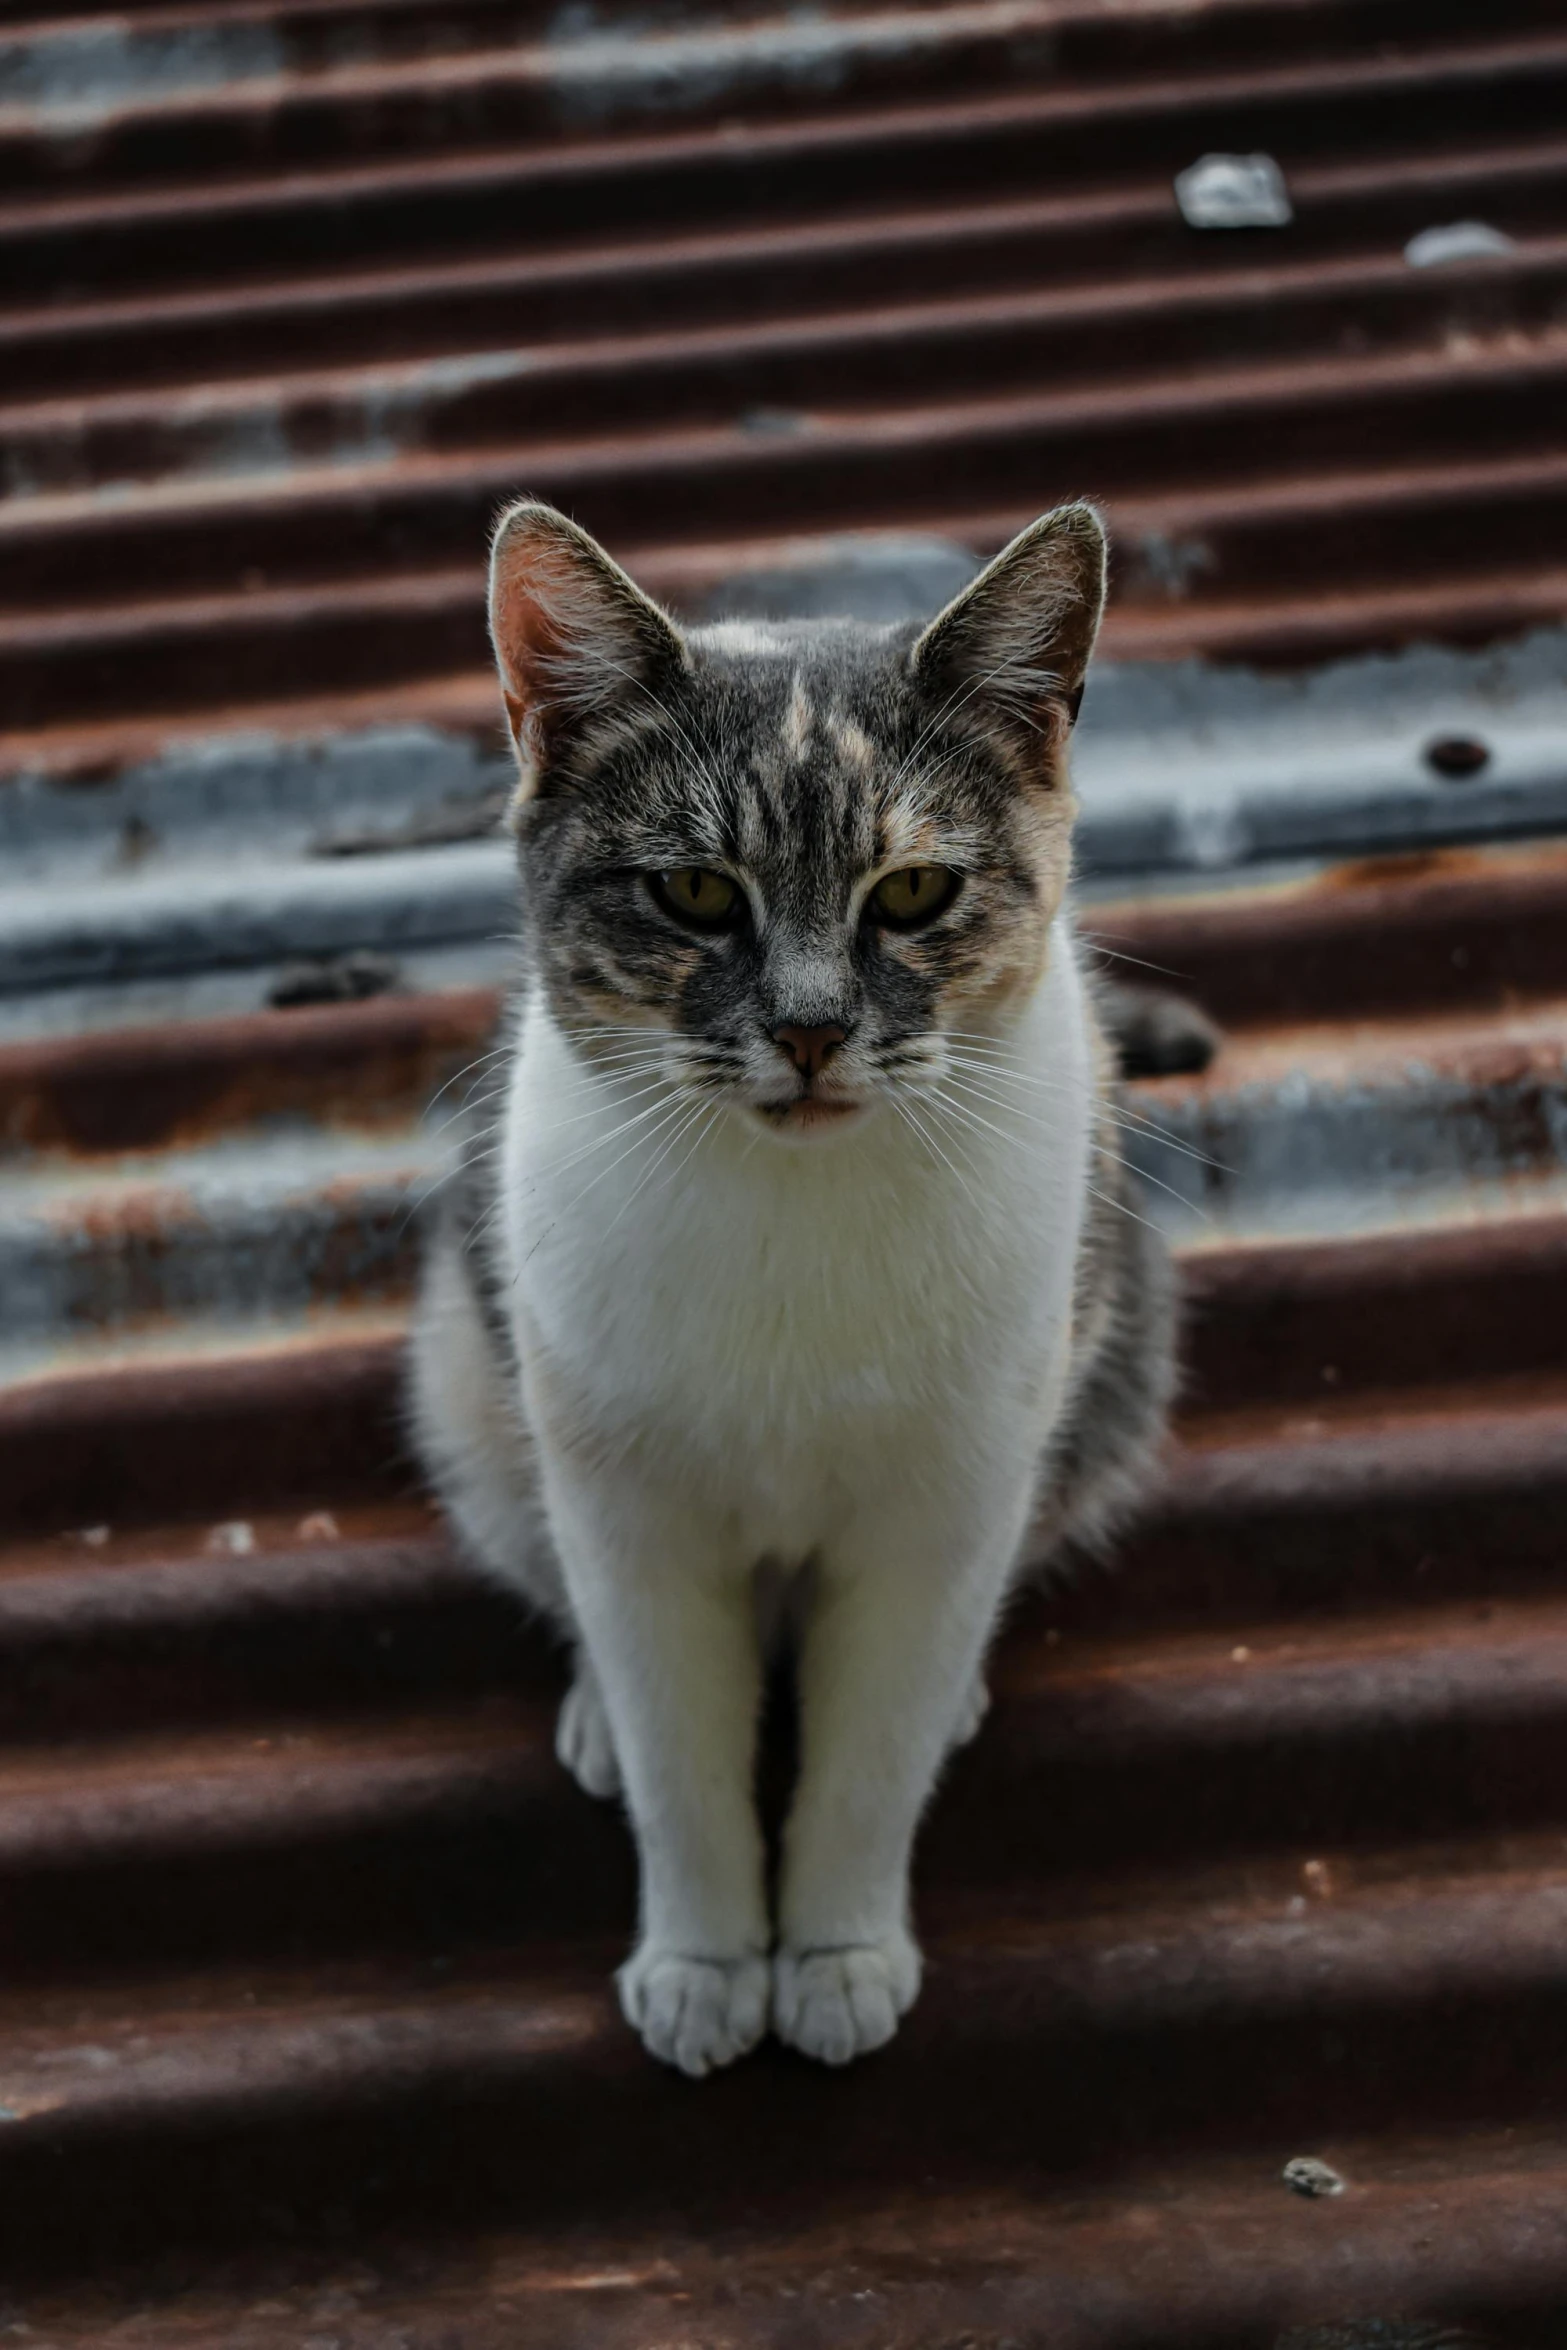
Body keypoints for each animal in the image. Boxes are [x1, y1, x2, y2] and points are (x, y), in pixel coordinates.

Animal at [408, 495, 1202, 2077]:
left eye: (913, 891)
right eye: (695, 891)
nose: (813, 1028)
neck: (796, 1220)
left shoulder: (941, 1512)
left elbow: (864, 1762)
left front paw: (833, 1952)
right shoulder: (631, 1520)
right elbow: (684, 1768)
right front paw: (706, 1960)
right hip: (469, 1380)